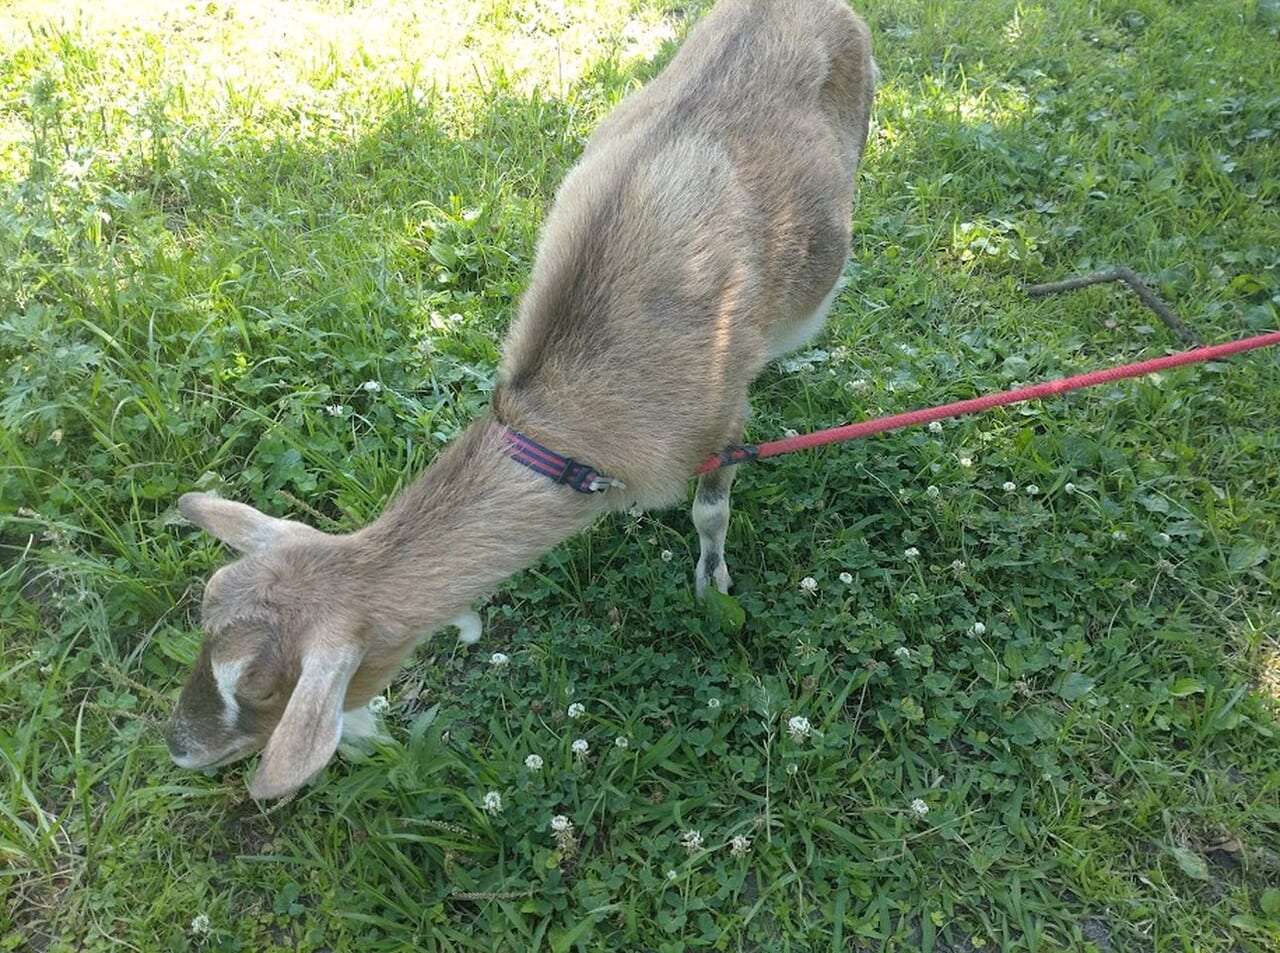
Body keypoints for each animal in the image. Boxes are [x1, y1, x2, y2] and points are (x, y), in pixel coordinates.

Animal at [165, 0, 875, 803]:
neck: (568, 420)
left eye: (258, 687)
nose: (178, 746)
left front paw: (710, 581)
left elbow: (710, 511)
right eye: (205, 614)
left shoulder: (718, 421)